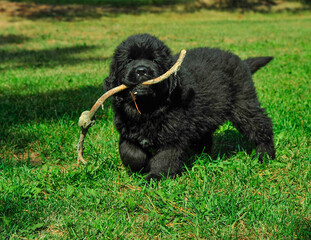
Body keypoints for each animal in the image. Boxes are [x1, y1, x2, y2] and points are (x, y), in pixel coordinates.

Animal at [105, 33, 276, 180]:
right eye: (128, 61)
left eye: (155, 60)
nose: (141, 70)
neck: (147, 108)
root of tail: (241, 61)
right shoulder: (127, 130)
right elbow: (130, 152)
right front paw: (141, 166)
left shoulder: (173, 136)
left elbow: (164, 158)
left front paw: (155, 177)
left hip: (243, 104)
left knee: (261, 125)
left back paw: (265, 154)